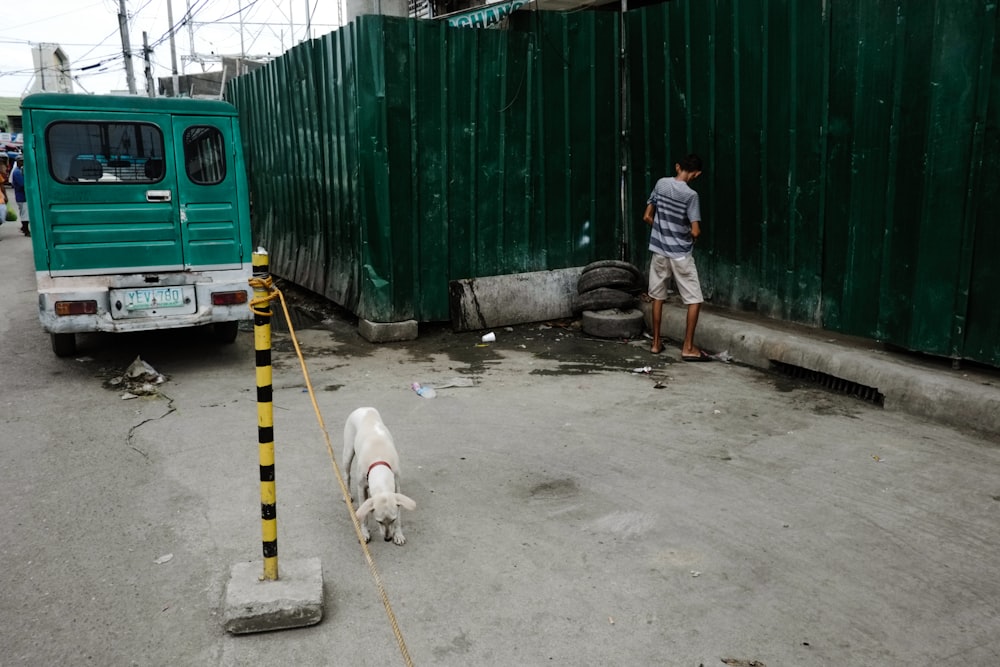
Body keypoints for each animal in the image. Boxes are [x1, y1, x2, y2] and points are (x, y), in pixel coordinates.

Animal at [342, 410, 416, 544]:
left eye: (392, 520)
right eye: (379, 521)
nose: (387, 539)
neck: (379, 459)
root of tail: (364, 408)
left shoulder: (397, 486)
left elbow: (399, 515)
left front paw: (398, 534)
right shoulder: (361, 487)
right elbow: (364, 515)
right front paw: (364, 533)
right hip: (348, 452)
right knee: (346, 475)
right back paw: (348, 495)